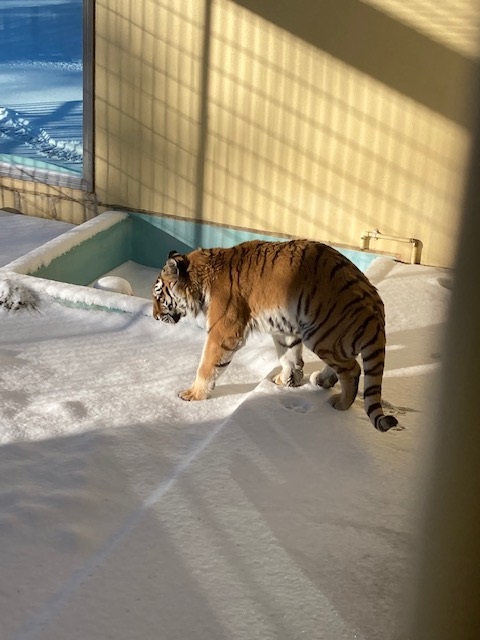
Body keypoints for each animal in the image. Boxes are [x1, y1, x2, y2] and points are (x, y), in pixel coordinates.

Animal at [153, 238, 398, 432]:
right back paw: (321, 379)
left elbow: (207, 365)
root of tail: (377, 308)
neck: (201, 277)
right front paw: (286, 380)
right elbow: (289, 356)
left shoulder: (224, 330)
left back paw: (340, 403)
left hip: (320, 334)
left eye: (159, 297)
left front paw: (194, 395)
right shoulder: (284, 328)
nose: (155, 317)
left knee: (352, 369)